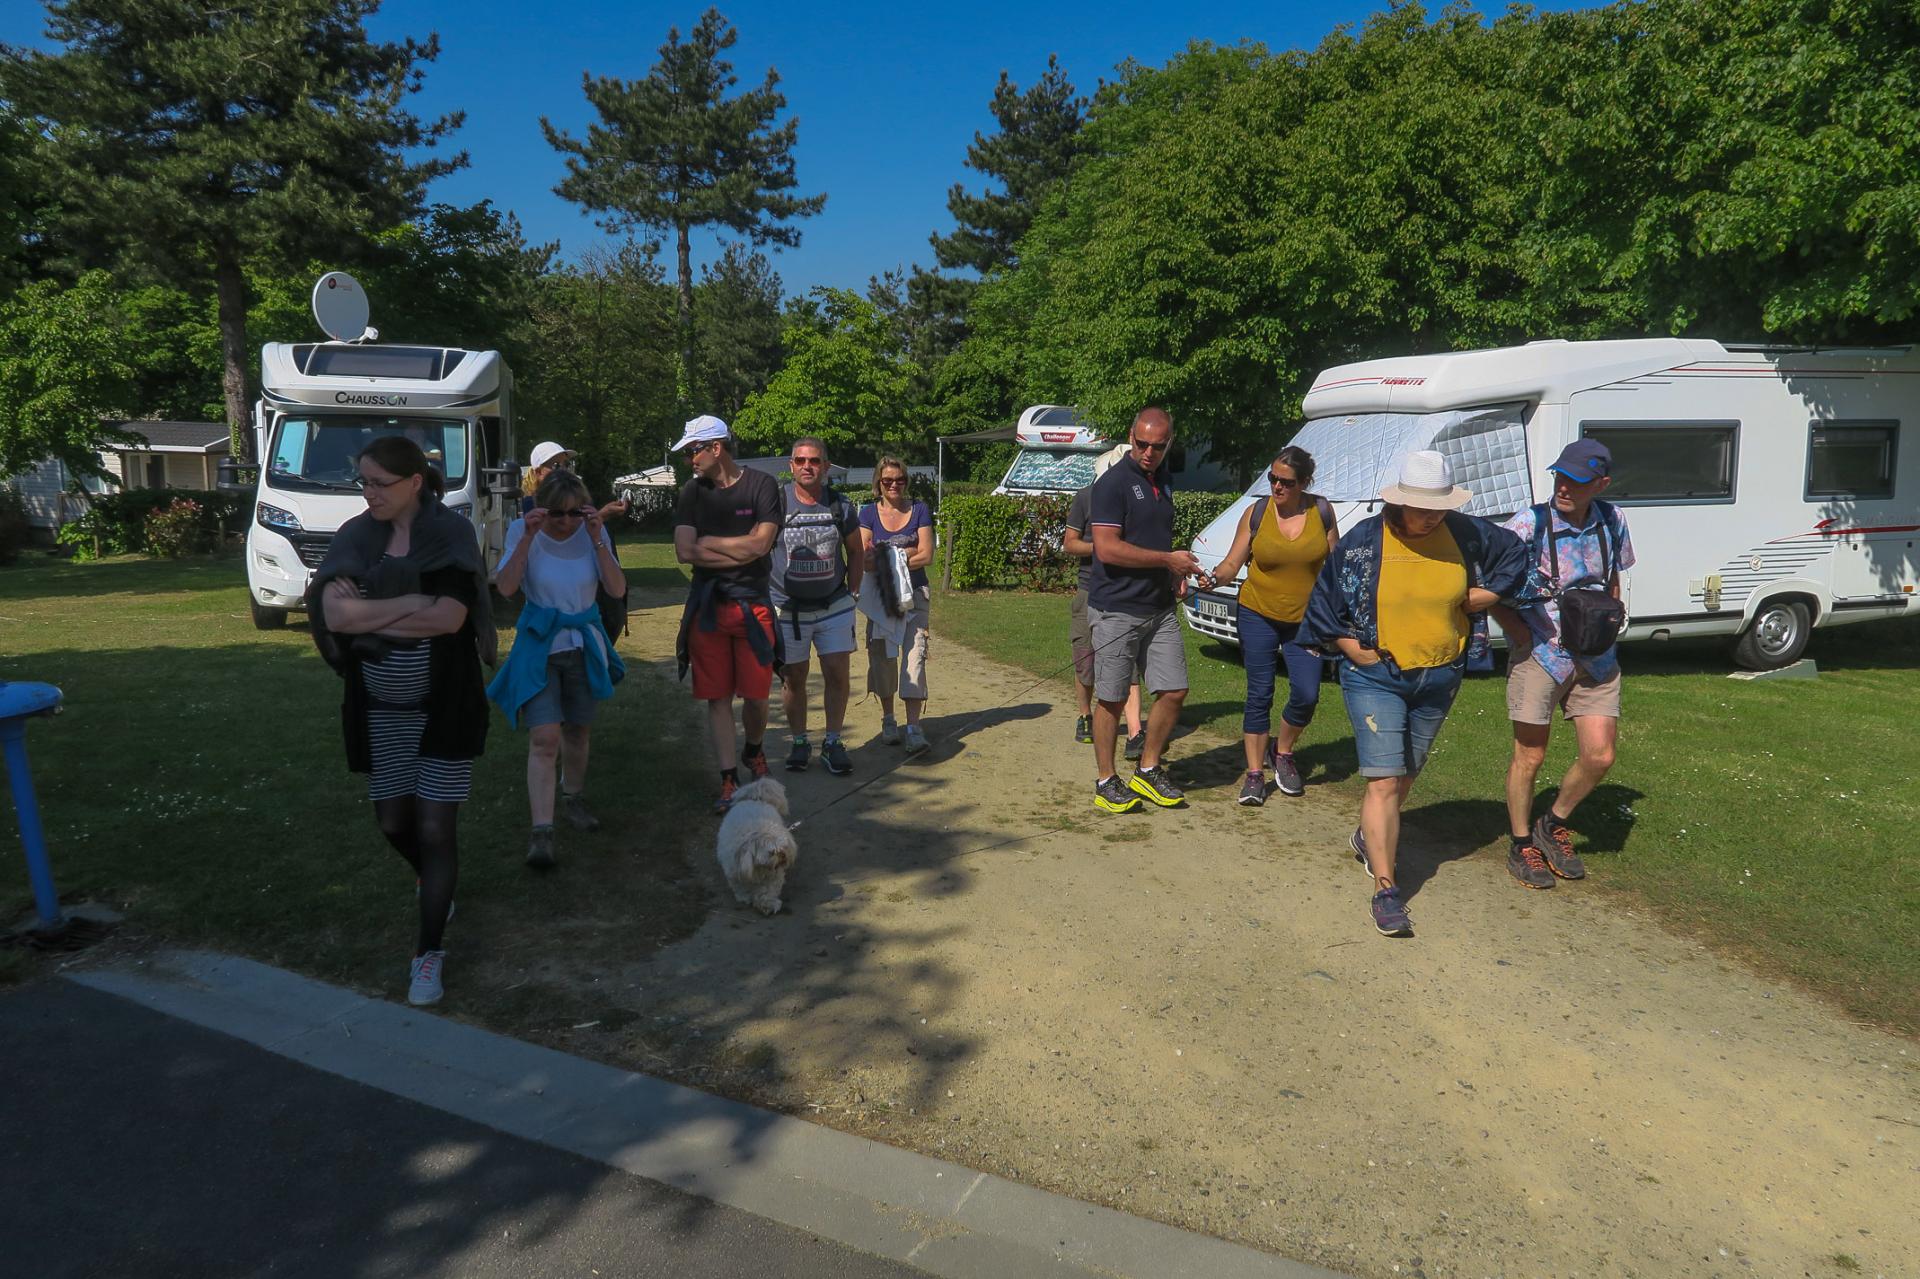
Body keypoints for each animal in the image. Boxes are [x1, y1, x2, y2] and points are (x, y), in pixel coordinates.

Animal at [714, 772, 794, 910]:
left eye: (784, 849)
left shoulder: (774, 874)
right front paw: (745, 897)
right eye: (772, 852)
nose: (783, 856)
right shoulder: (735, 872)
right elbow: (741, 887)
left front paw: (767, 903)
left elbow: (768, 889)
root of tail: (756, 799)